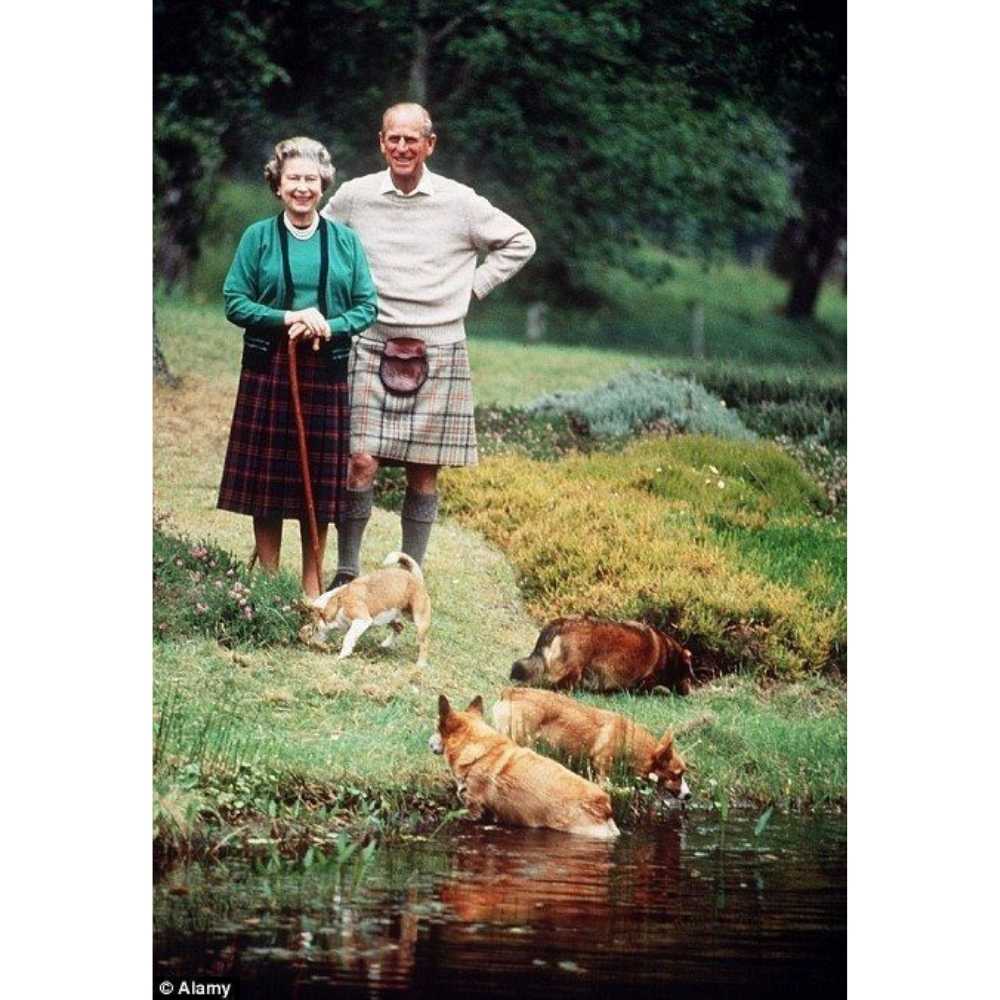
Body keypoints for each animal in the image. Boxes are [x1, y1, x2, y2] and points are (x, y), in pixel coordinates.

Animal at [296, 552, 430, 668]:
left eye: (311, 625)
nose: (300, 635)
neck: (338, 601)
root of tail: (415, 577)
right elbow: (351, 637)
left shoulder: (362, 620)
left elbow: (348, 637)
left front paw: (342, 656)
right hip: (391, 615)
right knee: (400, 627)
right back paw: (385, 644)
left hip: (418, 619)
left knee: (424, 643)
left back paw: (421, 664)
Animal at [508, 616, 696, 696]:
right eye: (688, 676)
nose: (689, 693)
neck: (669, 654)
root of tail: (560, 623)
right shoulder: (648, 679)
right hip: (572, 670)